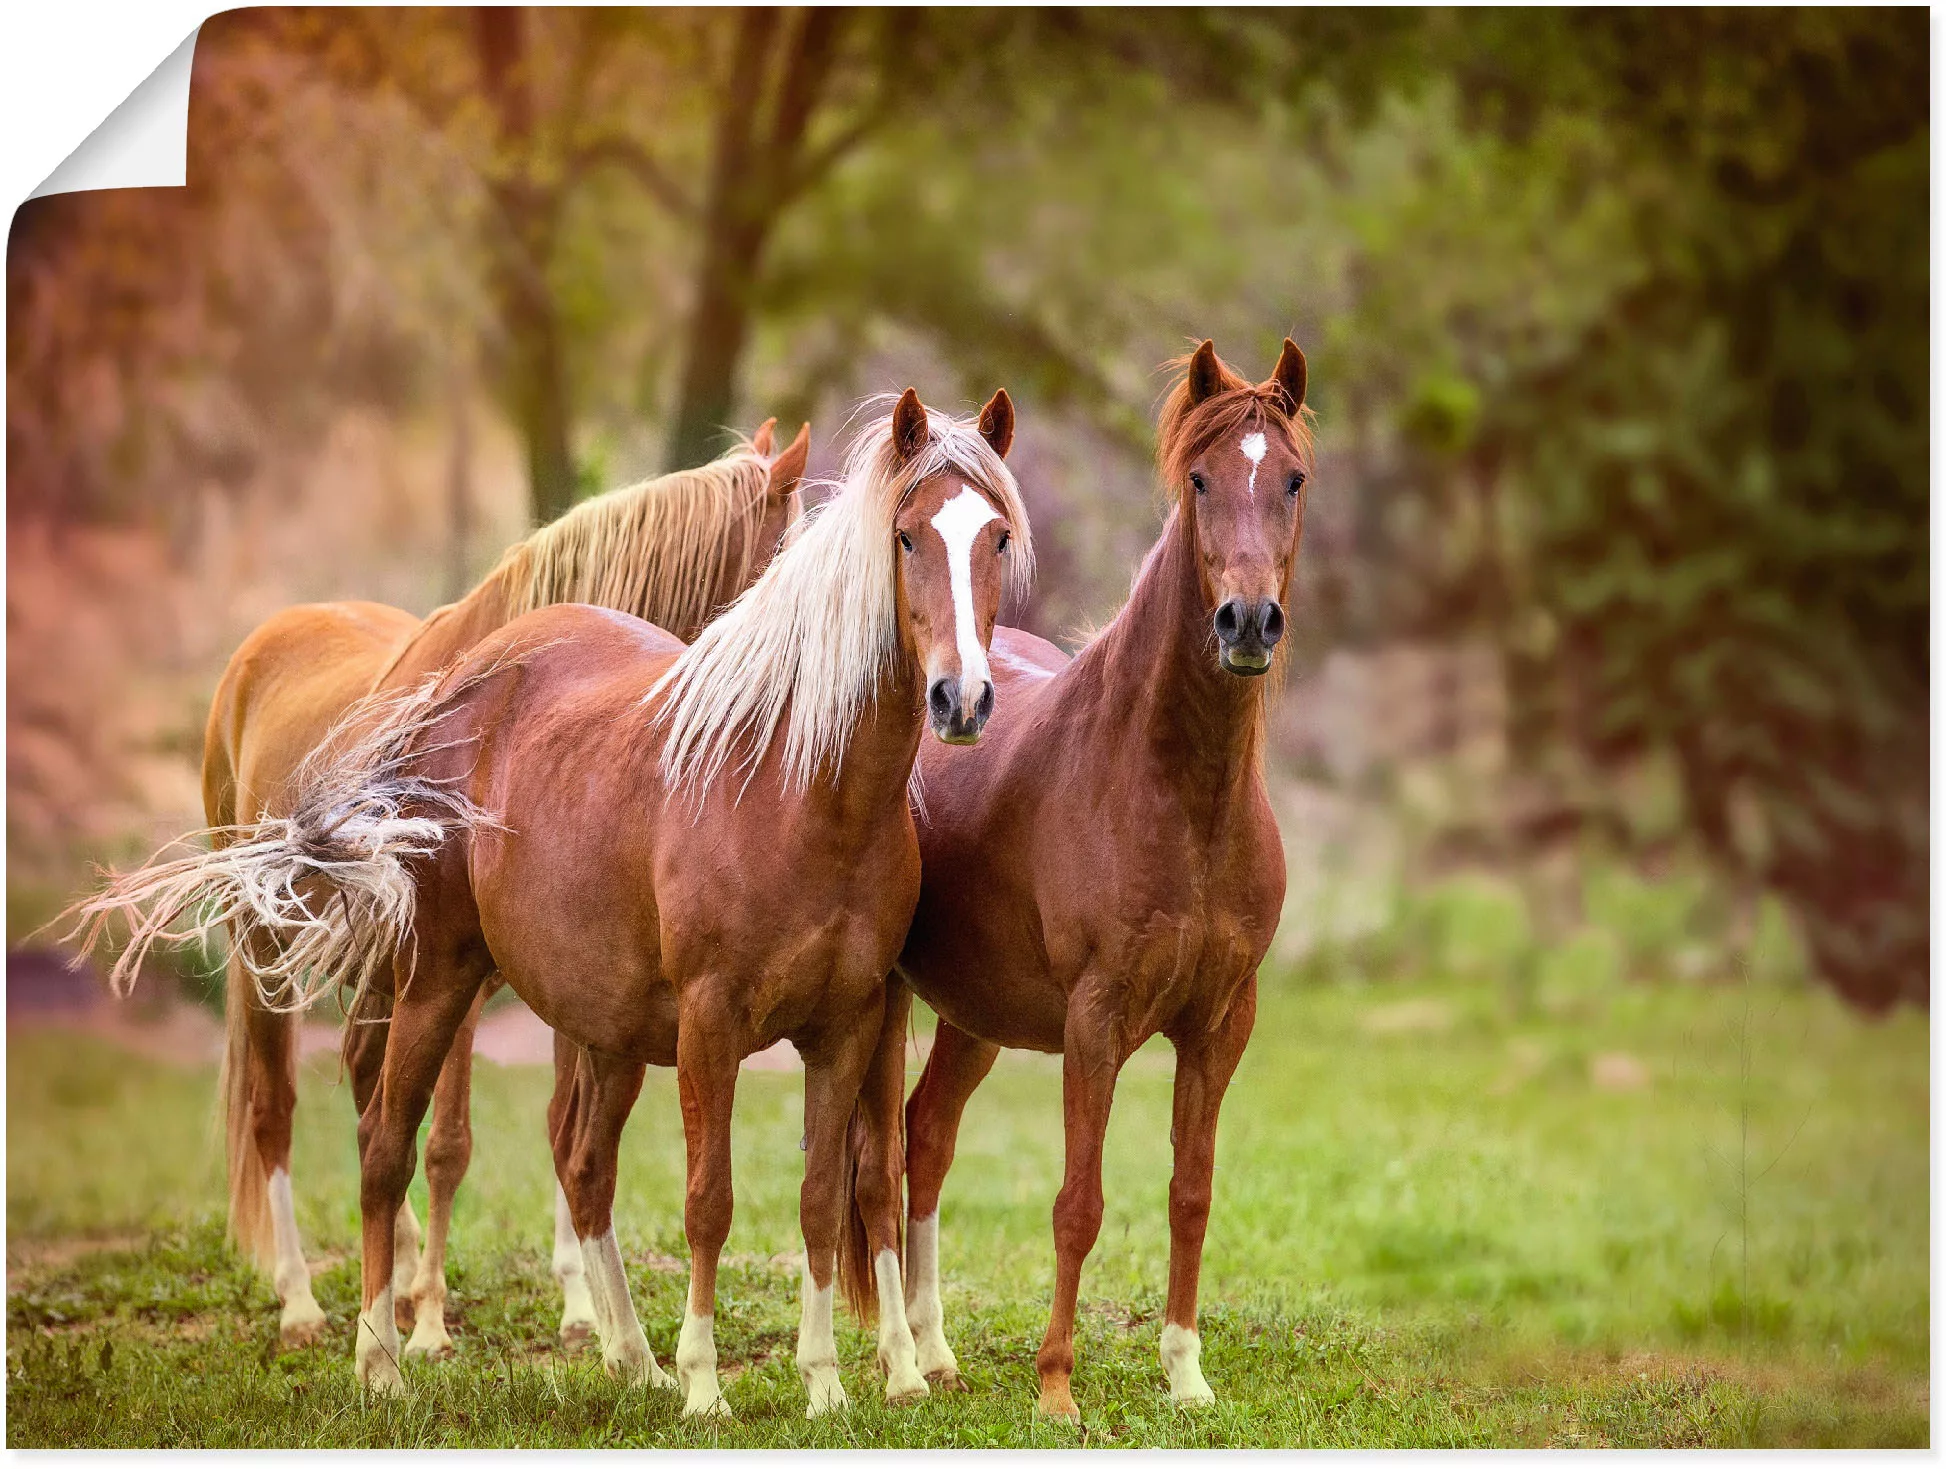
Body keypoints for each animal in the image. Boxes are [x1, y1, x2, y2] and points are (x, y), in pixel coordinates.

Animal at [87, 416, 809, 1354]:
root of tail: (263, 643)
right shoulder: (458, 972)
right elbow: (450, 1142)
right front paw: (429, 1321)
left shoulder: (570, 974)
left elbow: (555, 1129)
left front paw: (581, 1313)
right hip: (268, 947)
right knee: (277, 1108)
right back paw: (305, 1303)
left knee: (366, 1085)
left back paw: (385, 1286)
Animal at [844, 342, 1315, 1424]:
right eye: (1198, 480)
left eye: (1292, 479)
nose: (1247, 621)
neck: (1178, 795)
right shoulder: (1094, 1021)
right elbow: (1078, 1200)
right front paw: (1055, 1387)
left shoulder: (1220, 1021)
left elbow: (1191, 1192)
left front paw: (1185, 1373)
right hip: (884, 1003)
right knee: (880, 1163)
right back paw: (901, 1361)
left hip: (975, 1014)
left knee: (928, 1135)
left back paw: (938, 1353)